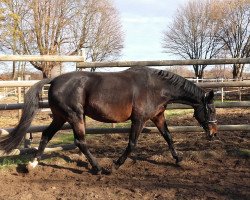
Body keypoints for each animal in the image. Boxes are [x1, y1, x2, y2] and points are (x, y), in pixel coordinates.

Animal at [0, 67, 217, 173]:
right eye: (212, 110)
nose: (214, 134)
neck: (156, 87)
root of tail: (54, 80)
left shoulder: (158, 117)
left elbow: (169, 138)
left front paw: (179, 160)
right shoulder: (139, 120)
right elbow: (132, 144)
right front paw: (115, 165)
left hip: (61, 117)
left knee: (46, 135)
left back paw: (31, 165)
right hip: (74, 116)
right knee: (80, 141)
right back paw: (98, 168)